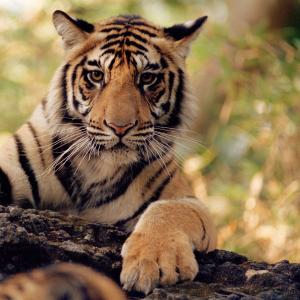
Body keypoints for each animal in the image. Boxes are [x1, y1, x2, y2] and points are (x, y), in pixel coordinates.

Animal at [0, 10, 218, 294]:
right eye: (96, 76)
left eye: (147, 78)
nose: (119, 127)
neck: (96, 166)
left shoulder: (188, 201)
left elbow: (167, 210)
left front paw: (154, 262)